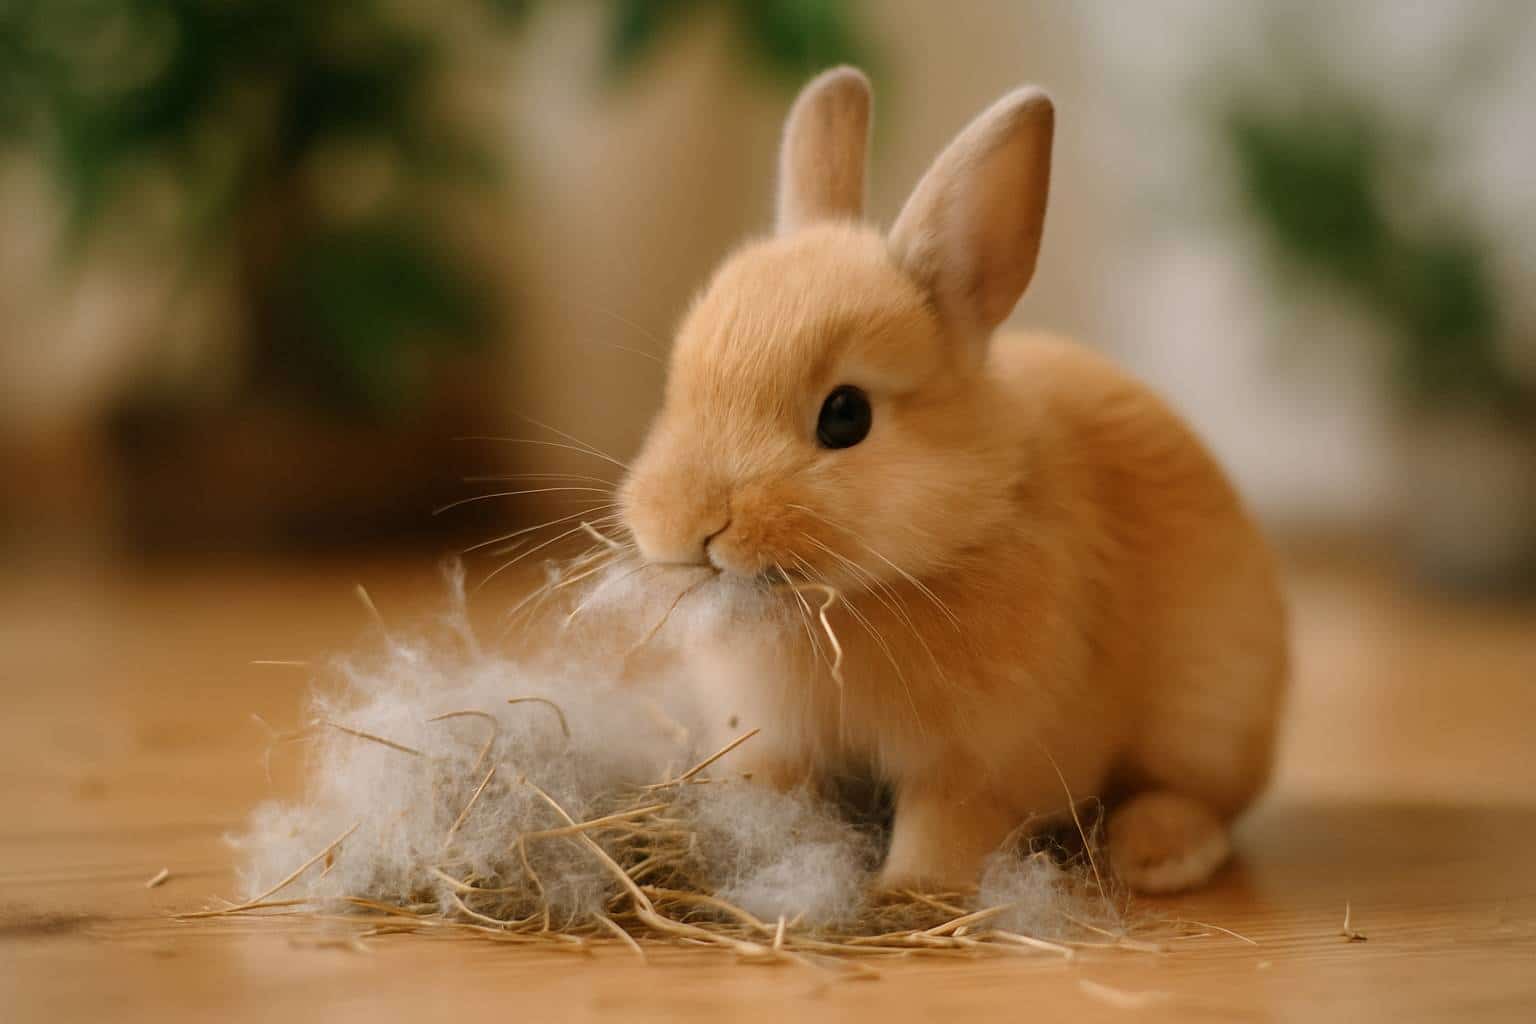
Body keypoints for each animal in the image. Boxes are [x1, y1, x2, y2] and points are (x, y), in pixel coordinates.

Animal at [616, 67, 1288, 895]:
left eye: (846, 415)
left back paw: (1158, 854)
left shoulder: (975, 765)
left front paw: (912, 889)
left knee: (1199, 797)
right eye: (678, 384)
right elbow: (766, 794)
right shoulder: (771, 743)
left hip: (1211, 711)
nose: (683, 526)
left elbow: (946, 826)